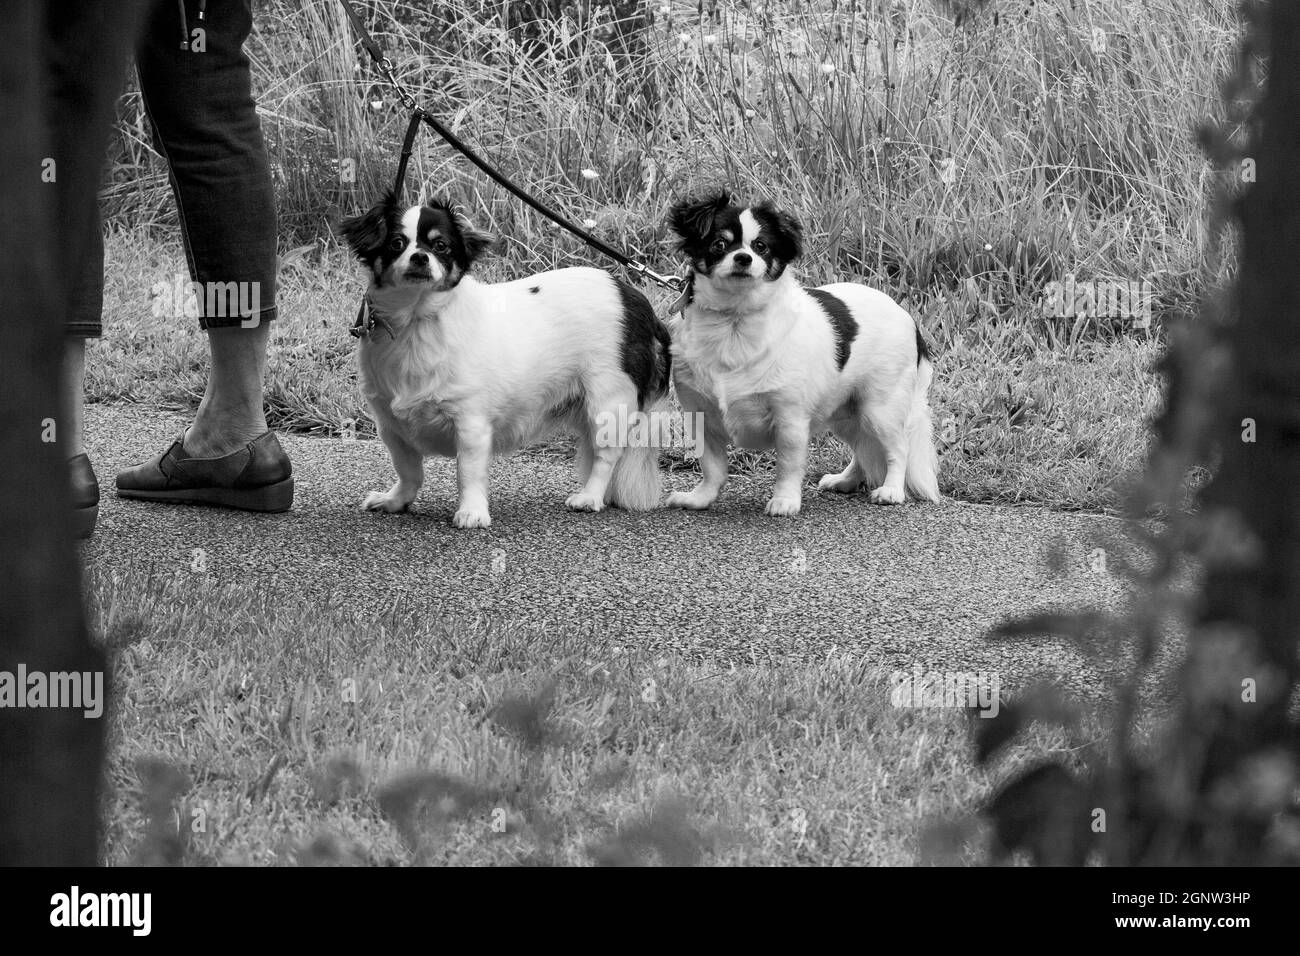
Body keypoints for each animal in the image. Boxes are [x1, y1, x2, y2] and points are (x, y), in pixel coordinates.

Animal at [338, 189, 670, 528]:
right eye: (396, 243)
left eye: (440, 245)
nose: (420, 257)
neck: (416, 320)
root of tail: (636, 300)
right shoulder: (392, 428)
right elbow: (408, 470)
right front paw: (397, 500)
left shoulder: (470, 424)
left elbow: (467, 472)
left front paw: (472, 511)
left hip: (608, 403)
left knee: (606, 456)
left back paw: (590, 496)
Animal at [665, 192, 941, 515]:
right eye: (719, 244)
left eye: (761, 246)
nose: (744, 257)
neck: (733, 322)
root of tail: (910, 320)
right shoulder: (703, 418)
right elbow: (713, 467)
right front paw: (700, 498)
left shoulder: (790, 418)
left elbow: (788, 464)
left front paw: (784, 500)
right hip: (848, 413)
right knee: (863, 448)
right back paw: (845, 481)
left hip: (880, 409)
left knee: (897, 449)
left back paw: (891, 490)